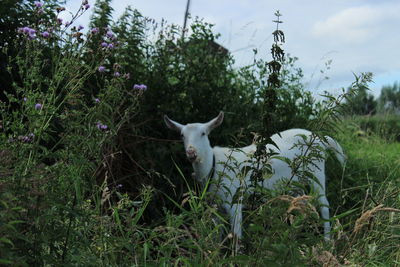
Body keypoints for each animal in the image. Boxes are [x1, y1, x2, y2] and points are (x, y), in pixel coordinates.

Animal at [164, 111, 346, 241]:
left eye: (203, 133)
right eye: (182, 135)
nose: (191, 153)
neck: (214, 166)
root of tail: (321, 139)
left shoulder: (235, 200)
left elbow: (237, 235)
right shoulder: (215, 206)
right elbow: (216, 235)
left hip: (317, 172)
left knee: (324, 204)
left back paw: (327, 242)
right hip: (297, 182)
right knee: (299, 205)